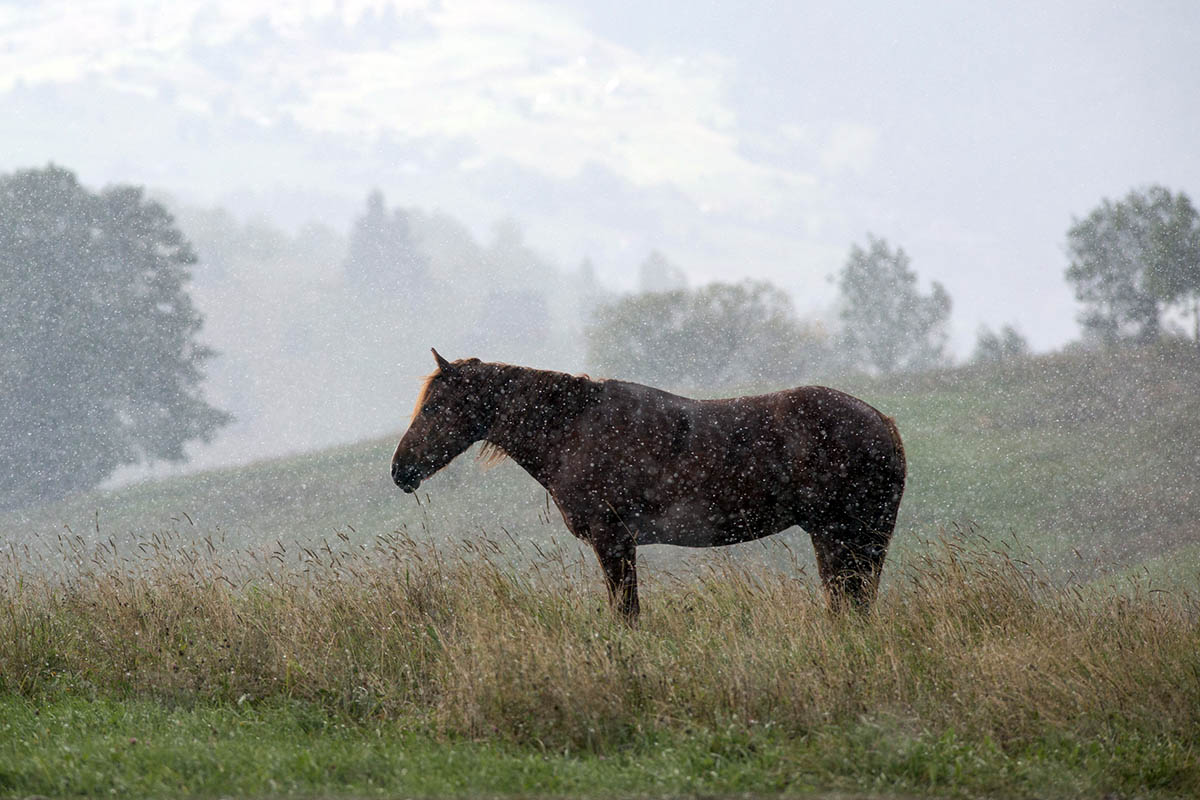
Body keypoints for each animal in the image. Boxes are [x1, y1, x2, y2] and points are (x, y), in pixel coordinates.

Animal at [391, 349, 906, 622]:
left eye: (433, 407)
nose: (401, 470)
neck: (576, 427)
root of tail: (883, 423)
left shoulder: (614, 539)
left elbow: (627, 611)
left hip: (842, 535)